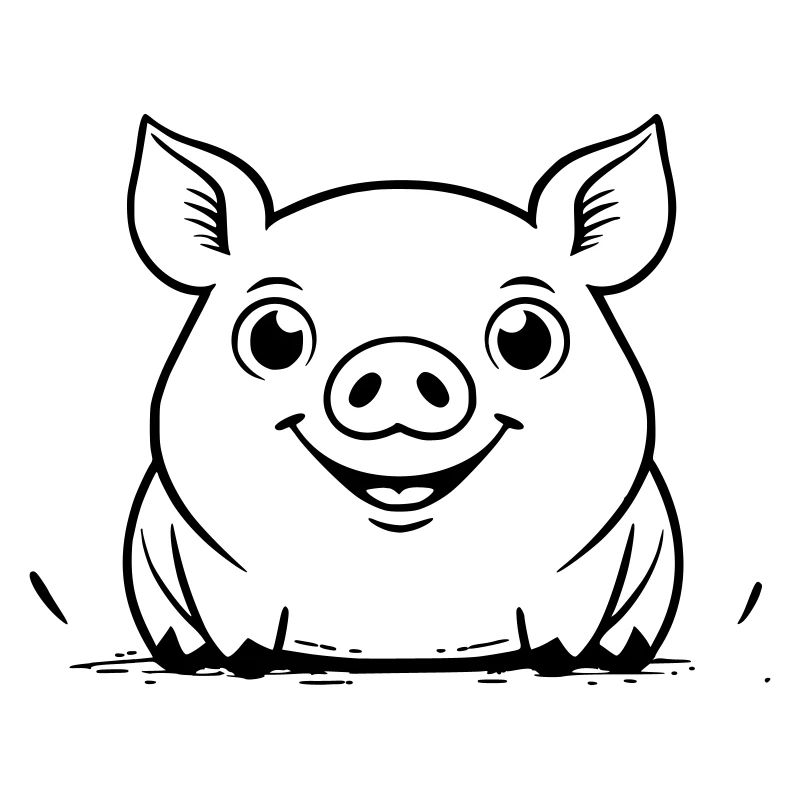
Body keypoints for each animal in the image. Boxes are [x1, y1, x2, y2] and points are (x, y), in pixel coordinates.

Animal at [123, 114, 682, 677]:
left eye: (527, 336)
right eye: (273, 337)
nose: (399, 359)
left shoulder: (601, 558)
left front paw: (557, 661)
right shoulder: (202, 559)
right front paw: (246, 662)